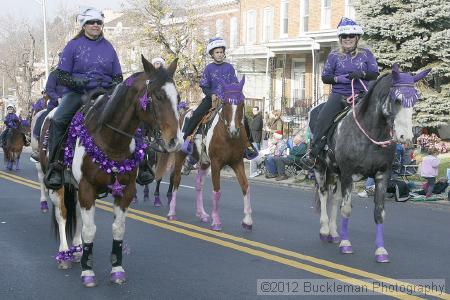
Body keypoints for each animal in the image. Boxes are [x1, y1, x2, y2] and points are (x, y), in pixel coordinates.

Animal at [36, 55, 181, 288]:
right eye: (158, 96)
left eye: (178, 97)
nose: (175, 141)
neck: (110, 140)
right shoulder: (87, 188)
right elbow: (89, 230)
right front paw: (88, 271)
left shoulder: (125, 190)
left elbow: (117, 228)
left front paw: (117, 270)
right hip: (57, 185)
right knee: (62, 215)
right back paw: (65, 254)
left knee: (76, 214)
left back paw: (76, 251)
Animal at [164, 76, 251, 231]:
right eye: (226, 103)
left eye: (241, 103)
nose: (234, 130)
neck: (227, 136)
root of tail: (183, 113)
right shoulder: (216, 164)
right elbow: (217, 191)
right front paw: (216, 221)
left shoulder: (237, 162)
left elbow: (245, 187)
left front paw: (247, 221)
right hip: (180, 157)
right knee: (176, 180)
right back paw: (172, 213)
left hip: (204, 162)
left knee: (198, 184)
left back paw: (202, 214)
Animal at [312, 63, 430, 262]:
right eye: (397, 99)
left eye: (415, 99)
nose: (405, 137)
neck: (371, 132)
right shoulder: (348, 173)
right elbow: (346, 209)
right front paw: (346, 244)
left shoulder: (382, 175)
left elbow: (379, 213)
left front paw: (380, 251)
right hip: (321, 167)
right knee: (323, 194)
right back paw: (324, 229)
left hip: (336, 172)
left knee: (334, 198)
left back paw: (334, 233)